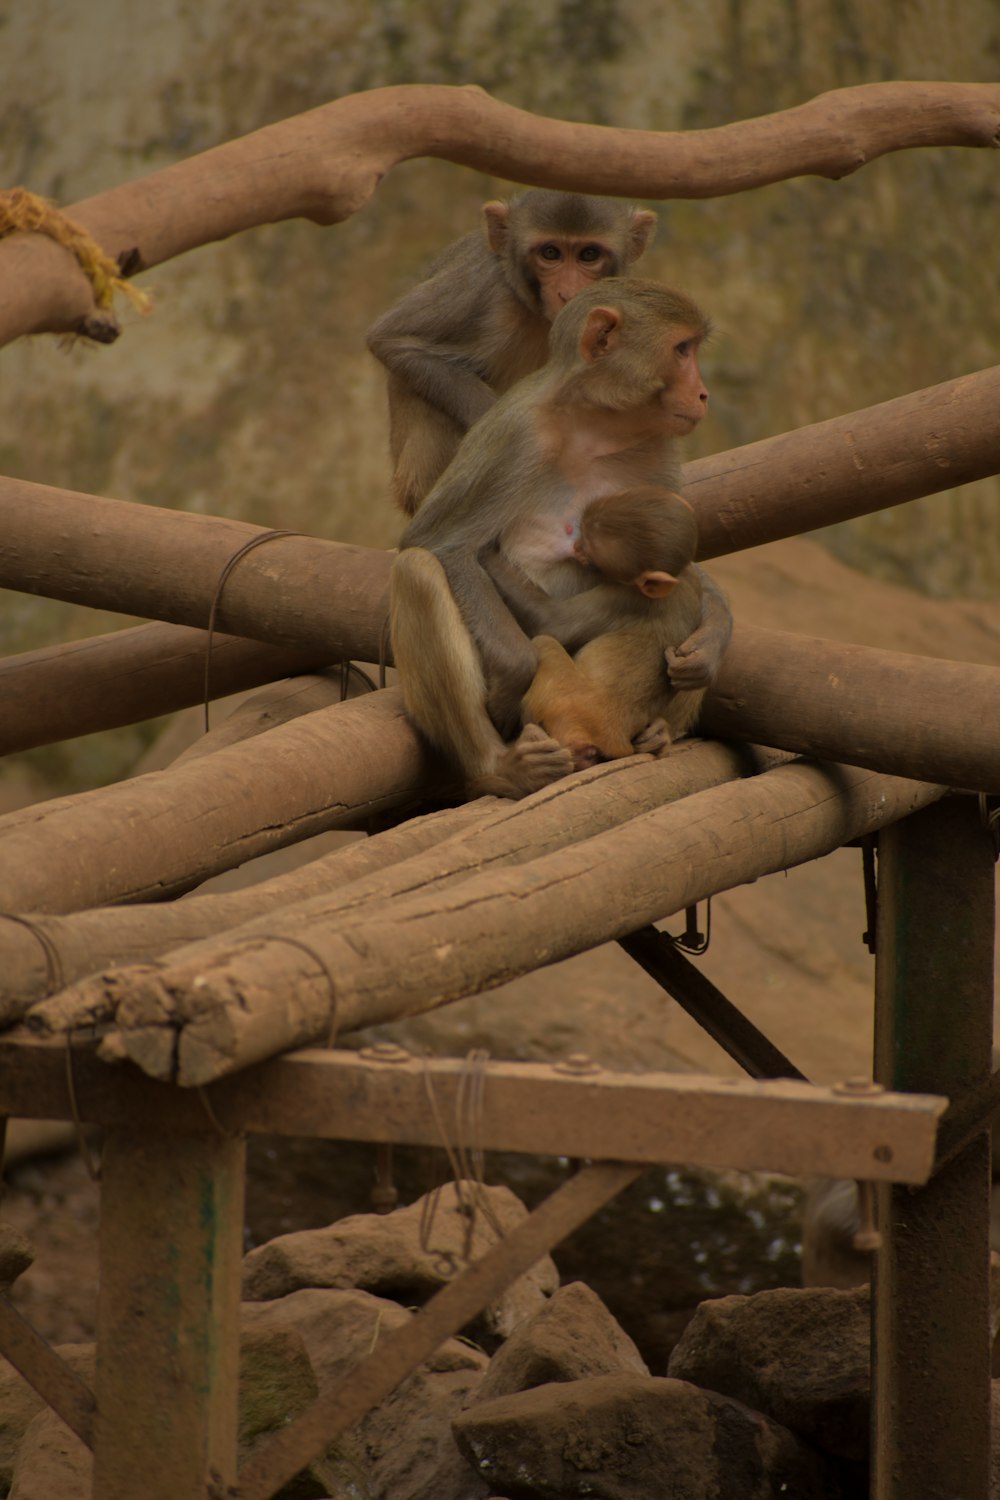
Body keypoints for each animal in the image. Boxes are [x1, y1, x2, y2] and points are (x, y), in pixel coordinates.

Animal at [488, 486, 707, 768]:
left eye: (592, 554)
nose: (576, 548)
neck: (676, 579)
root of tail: (613, 738)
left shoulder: (622, 597)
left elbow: (551, 621)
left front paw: (485, 552)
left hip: (565, 703)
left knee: (545, 642)